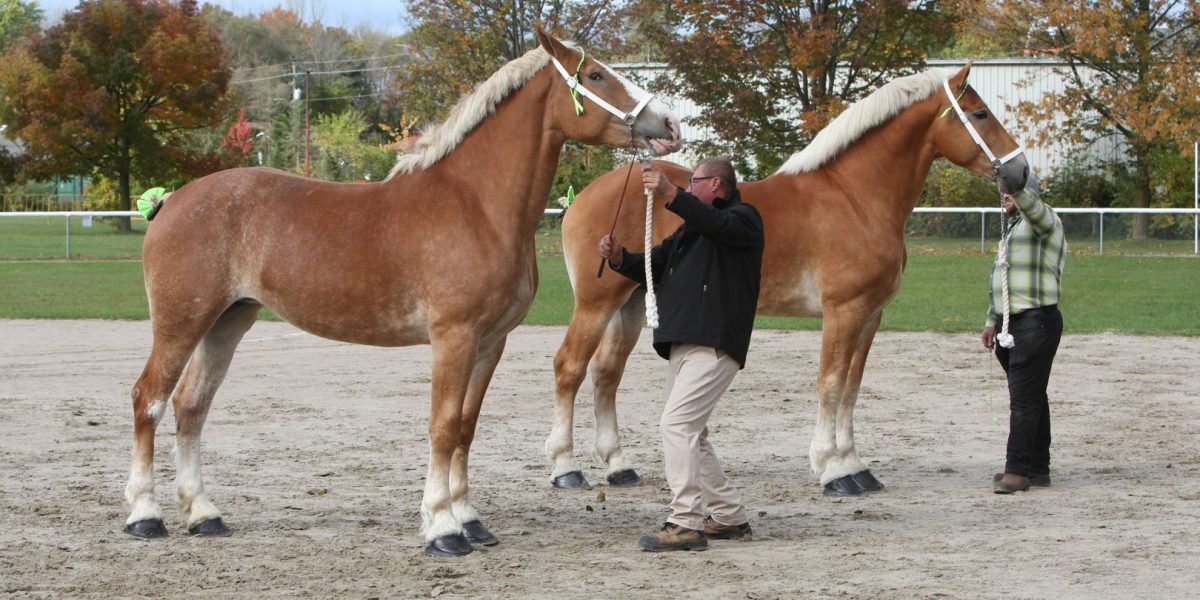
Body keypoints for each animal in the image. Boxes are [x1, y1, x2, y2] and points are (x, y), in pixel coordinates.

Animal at [125, 25, 681, 554]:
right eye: (596, 77)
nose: (669, 125)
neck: (476, 205)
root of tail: (172, 200)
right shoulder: (453, 337)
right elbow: (443, 426)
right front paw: (442, 528)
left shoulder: (489, 342)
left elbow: (466, 426)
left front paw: (470, 518)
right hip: (180, 324)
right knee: (149, 400)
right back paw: (145, 516)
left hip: (228, 320)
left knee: (191, 406)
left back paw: (203, 514)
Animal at [549, 63, 1027, 496]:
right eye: (981, 113)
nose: (1020, 172)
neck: (856, 197)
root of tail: (584, 197)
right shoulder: (843, 311)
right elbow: (831, 384)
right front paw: (833, 470)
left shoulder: (870, 316)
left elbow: (852, 388)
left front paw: (856, 465)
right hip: (595, 304)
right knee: (570, 367)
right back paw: (565, 468)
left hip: (630, 302)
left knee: (606, 374)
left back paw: (618, 466)